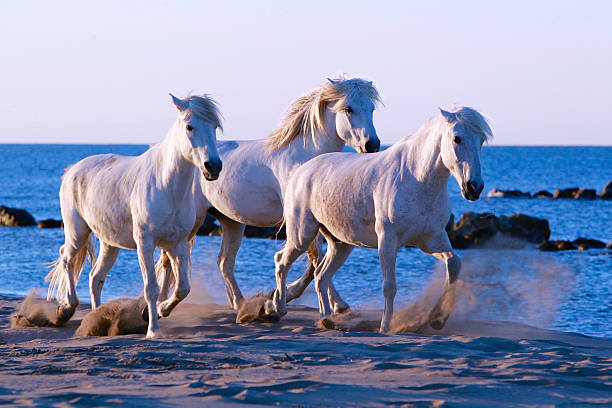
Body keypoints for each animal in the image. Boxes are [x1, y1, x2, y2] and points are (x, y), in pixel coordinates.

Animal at [46, 93, 222, 338]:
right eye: (189, 126)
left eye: (214, 127)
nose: (213, 167)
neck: (167, 187)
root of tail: (71, 170)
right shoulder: (145, 244)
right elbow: (151, 288)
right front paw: (153, 330)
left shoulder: (177, 244)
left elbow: (183, 288)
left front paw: (159, 311)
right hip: (77, 232)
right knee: (66, 258)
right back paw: (66, 309)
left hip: (110, 244)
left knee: (95, 278)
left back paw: (95, 318)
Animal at [155, 75, 380, 312]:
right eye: (348, 108)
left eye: (372, 108)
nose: (372, 145)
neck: (305, 157)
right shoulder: (302, 220)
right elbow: (316, 260)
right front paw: (331, 303)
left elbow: (314, 263)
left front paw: (282, 296)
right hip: (195, 220)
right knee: (169, 260)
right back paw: (159, 303)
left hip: (232, 222)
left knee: (224, 262)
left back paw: (239, 303)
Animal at [268, 107, 492, 332]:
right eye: (457, 138)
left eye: (481, 140)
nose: (474, 187)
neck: (417, 179)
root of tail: (301, 171)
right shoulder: (387, 241)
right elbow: (389, 286)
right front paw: (385, 327)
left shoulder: (431, 240)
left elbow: (454, 265)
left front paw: (437, 319)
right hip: (301, 235)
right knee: (281, 261)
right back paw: (277, 309)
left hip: (340, 245)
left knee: (320, 276)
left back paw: (325, 319)